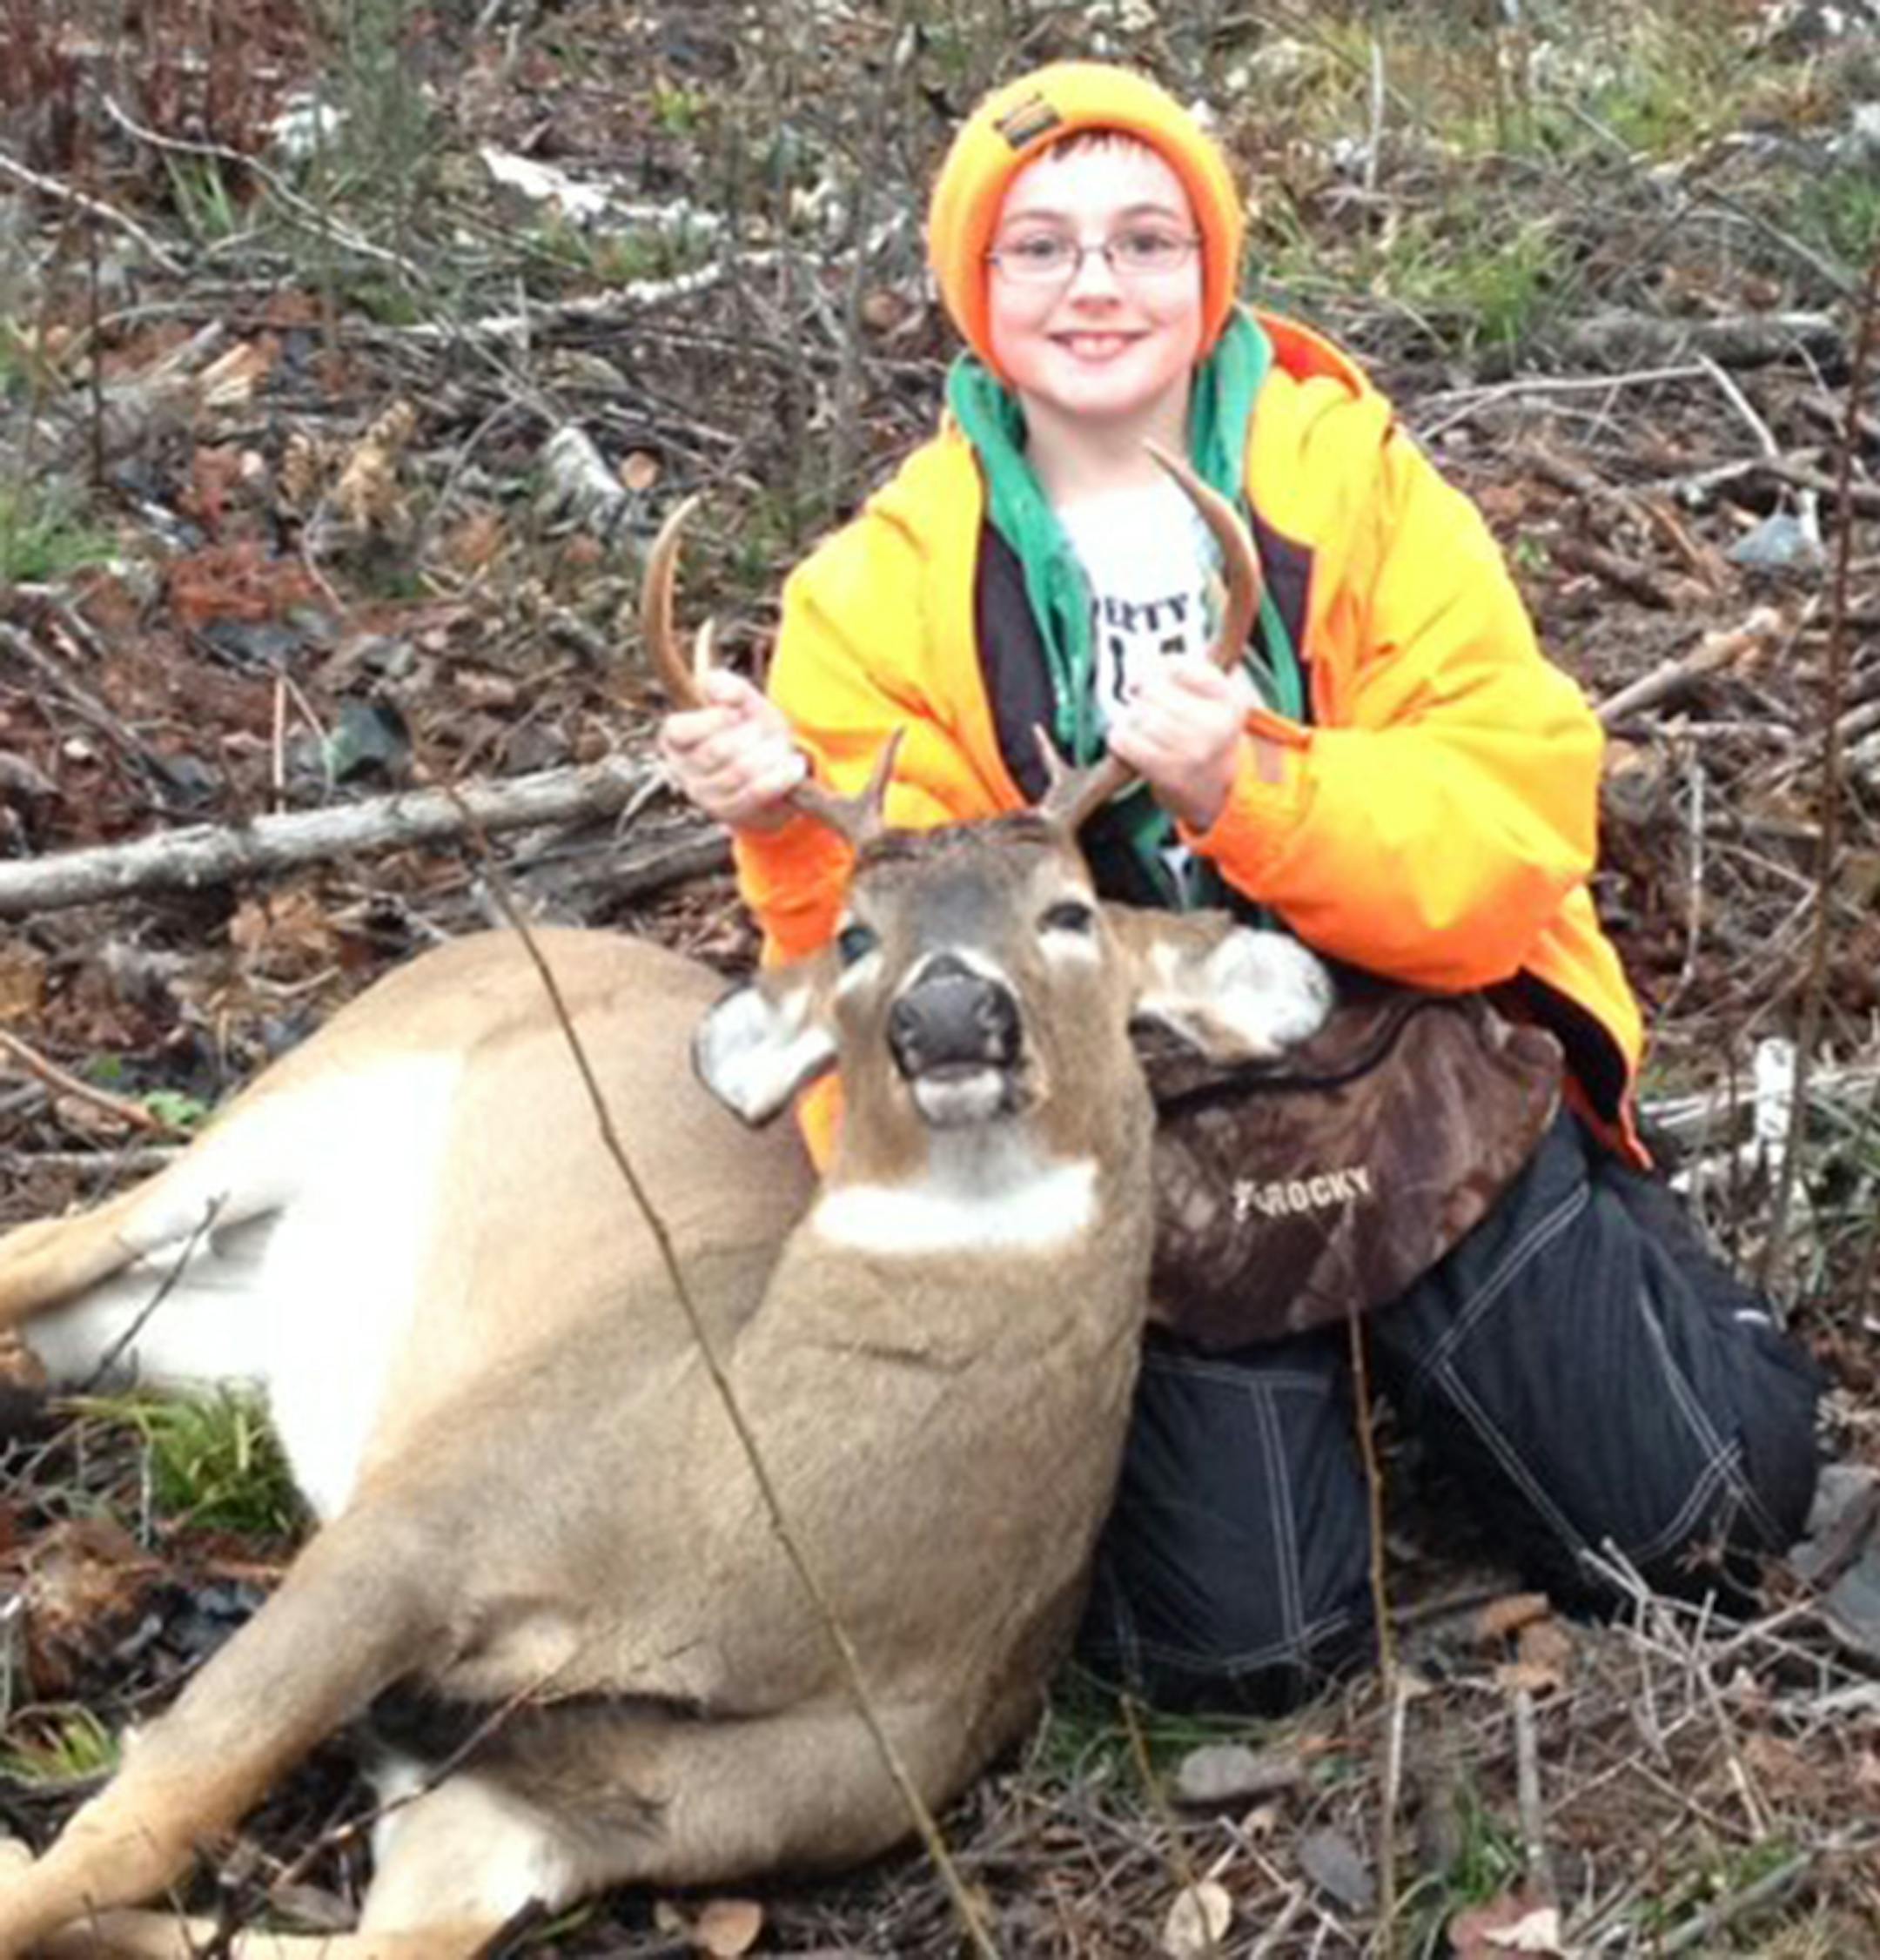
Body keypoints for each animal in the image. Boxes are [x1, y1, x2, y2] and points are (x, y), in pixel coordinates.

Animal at [0, 455, 1334, 1960]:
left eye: (1070, 914)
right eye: (858, 937)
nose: (948, 1013)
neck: (733, 1553)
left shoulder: (584, 1809)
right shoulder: (425, 1517)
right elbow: (133, 1829)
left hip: (228, 1334)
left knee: (79, 1323)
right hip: (308, 1091)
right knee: (43, 1241)